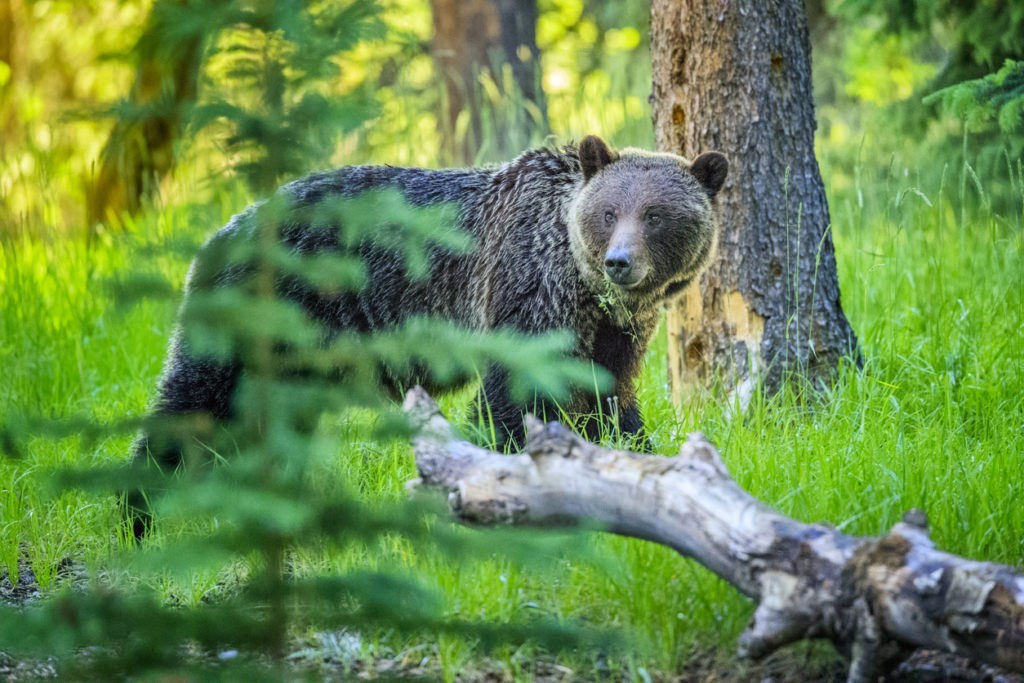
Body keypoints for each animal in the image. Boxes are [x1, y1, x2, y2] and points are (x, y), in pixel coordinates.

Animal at [130, 135, 729, 532]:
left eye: (654, 214)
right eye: (609, 212)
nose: (619, 262)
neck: (582, 287)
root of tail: (222, 232)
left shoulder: (614, 333)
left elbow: (609, 397)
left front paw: (636, 460)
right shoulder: (524, 291)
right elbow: (513, 398)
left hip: (295, 357)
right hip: (260, 315)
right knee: (195, 403)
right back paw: (138, 512)